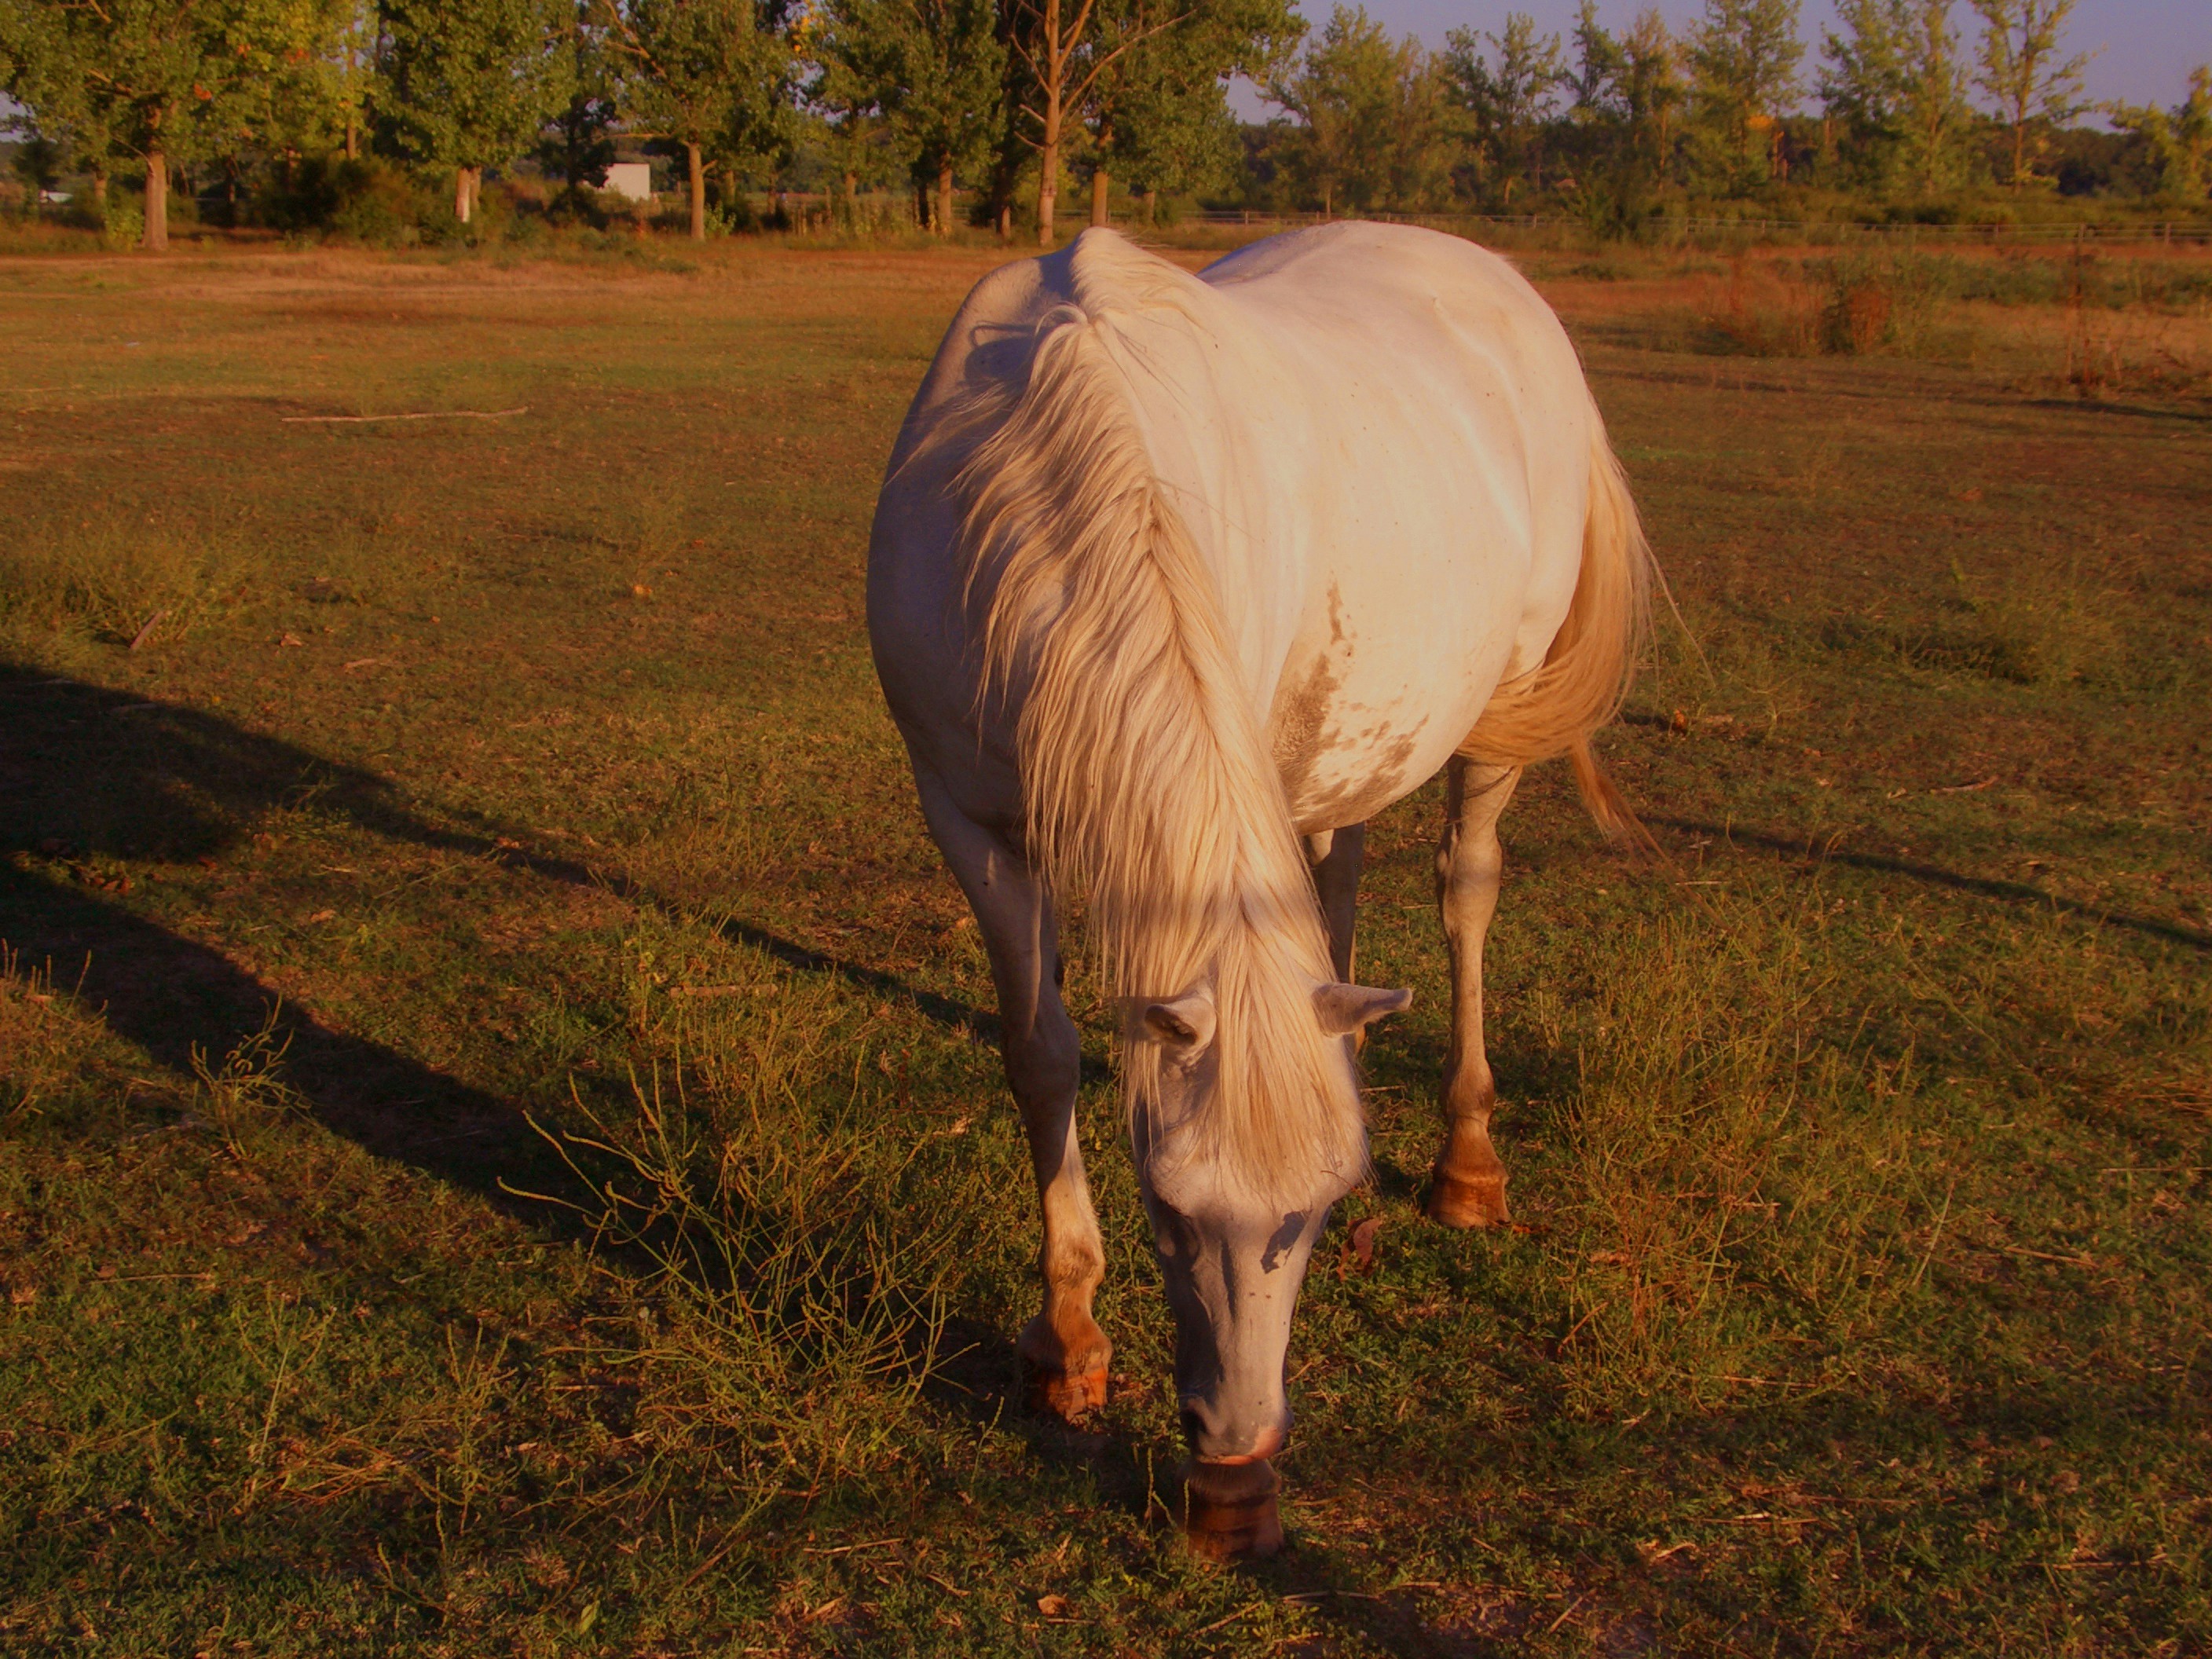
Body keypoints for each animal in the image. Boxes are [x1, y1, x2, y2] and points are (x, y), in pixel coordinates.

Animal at [867, 222, 1653, 1558]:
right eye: (1167, 1211)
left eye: (1318, 1213)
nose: (1236, 1491)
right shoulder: (967, 819)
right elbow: (1041, 1053)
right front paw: (1066, 1342)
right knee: (1337, 888)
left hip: (1493, 718)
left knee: (1466, 890)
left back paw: (1468, 1161)